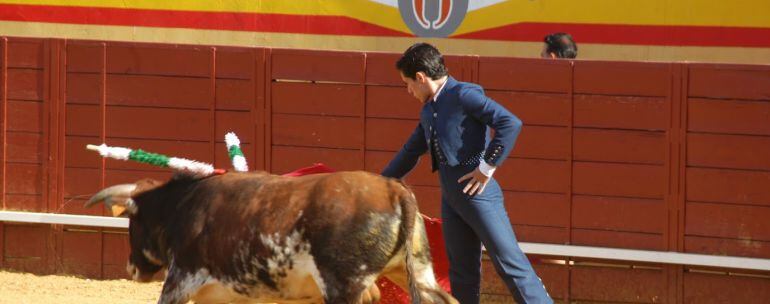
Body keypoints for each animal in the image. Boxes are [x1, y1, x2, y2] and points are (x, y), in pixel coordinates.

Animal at [84, 171, 456, 304]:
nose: (131, 267)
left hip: (344, 286)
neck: (182, 206)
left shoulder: (180, 280)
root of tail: (393, 188)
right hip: (417, 269)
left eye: (132, 222)